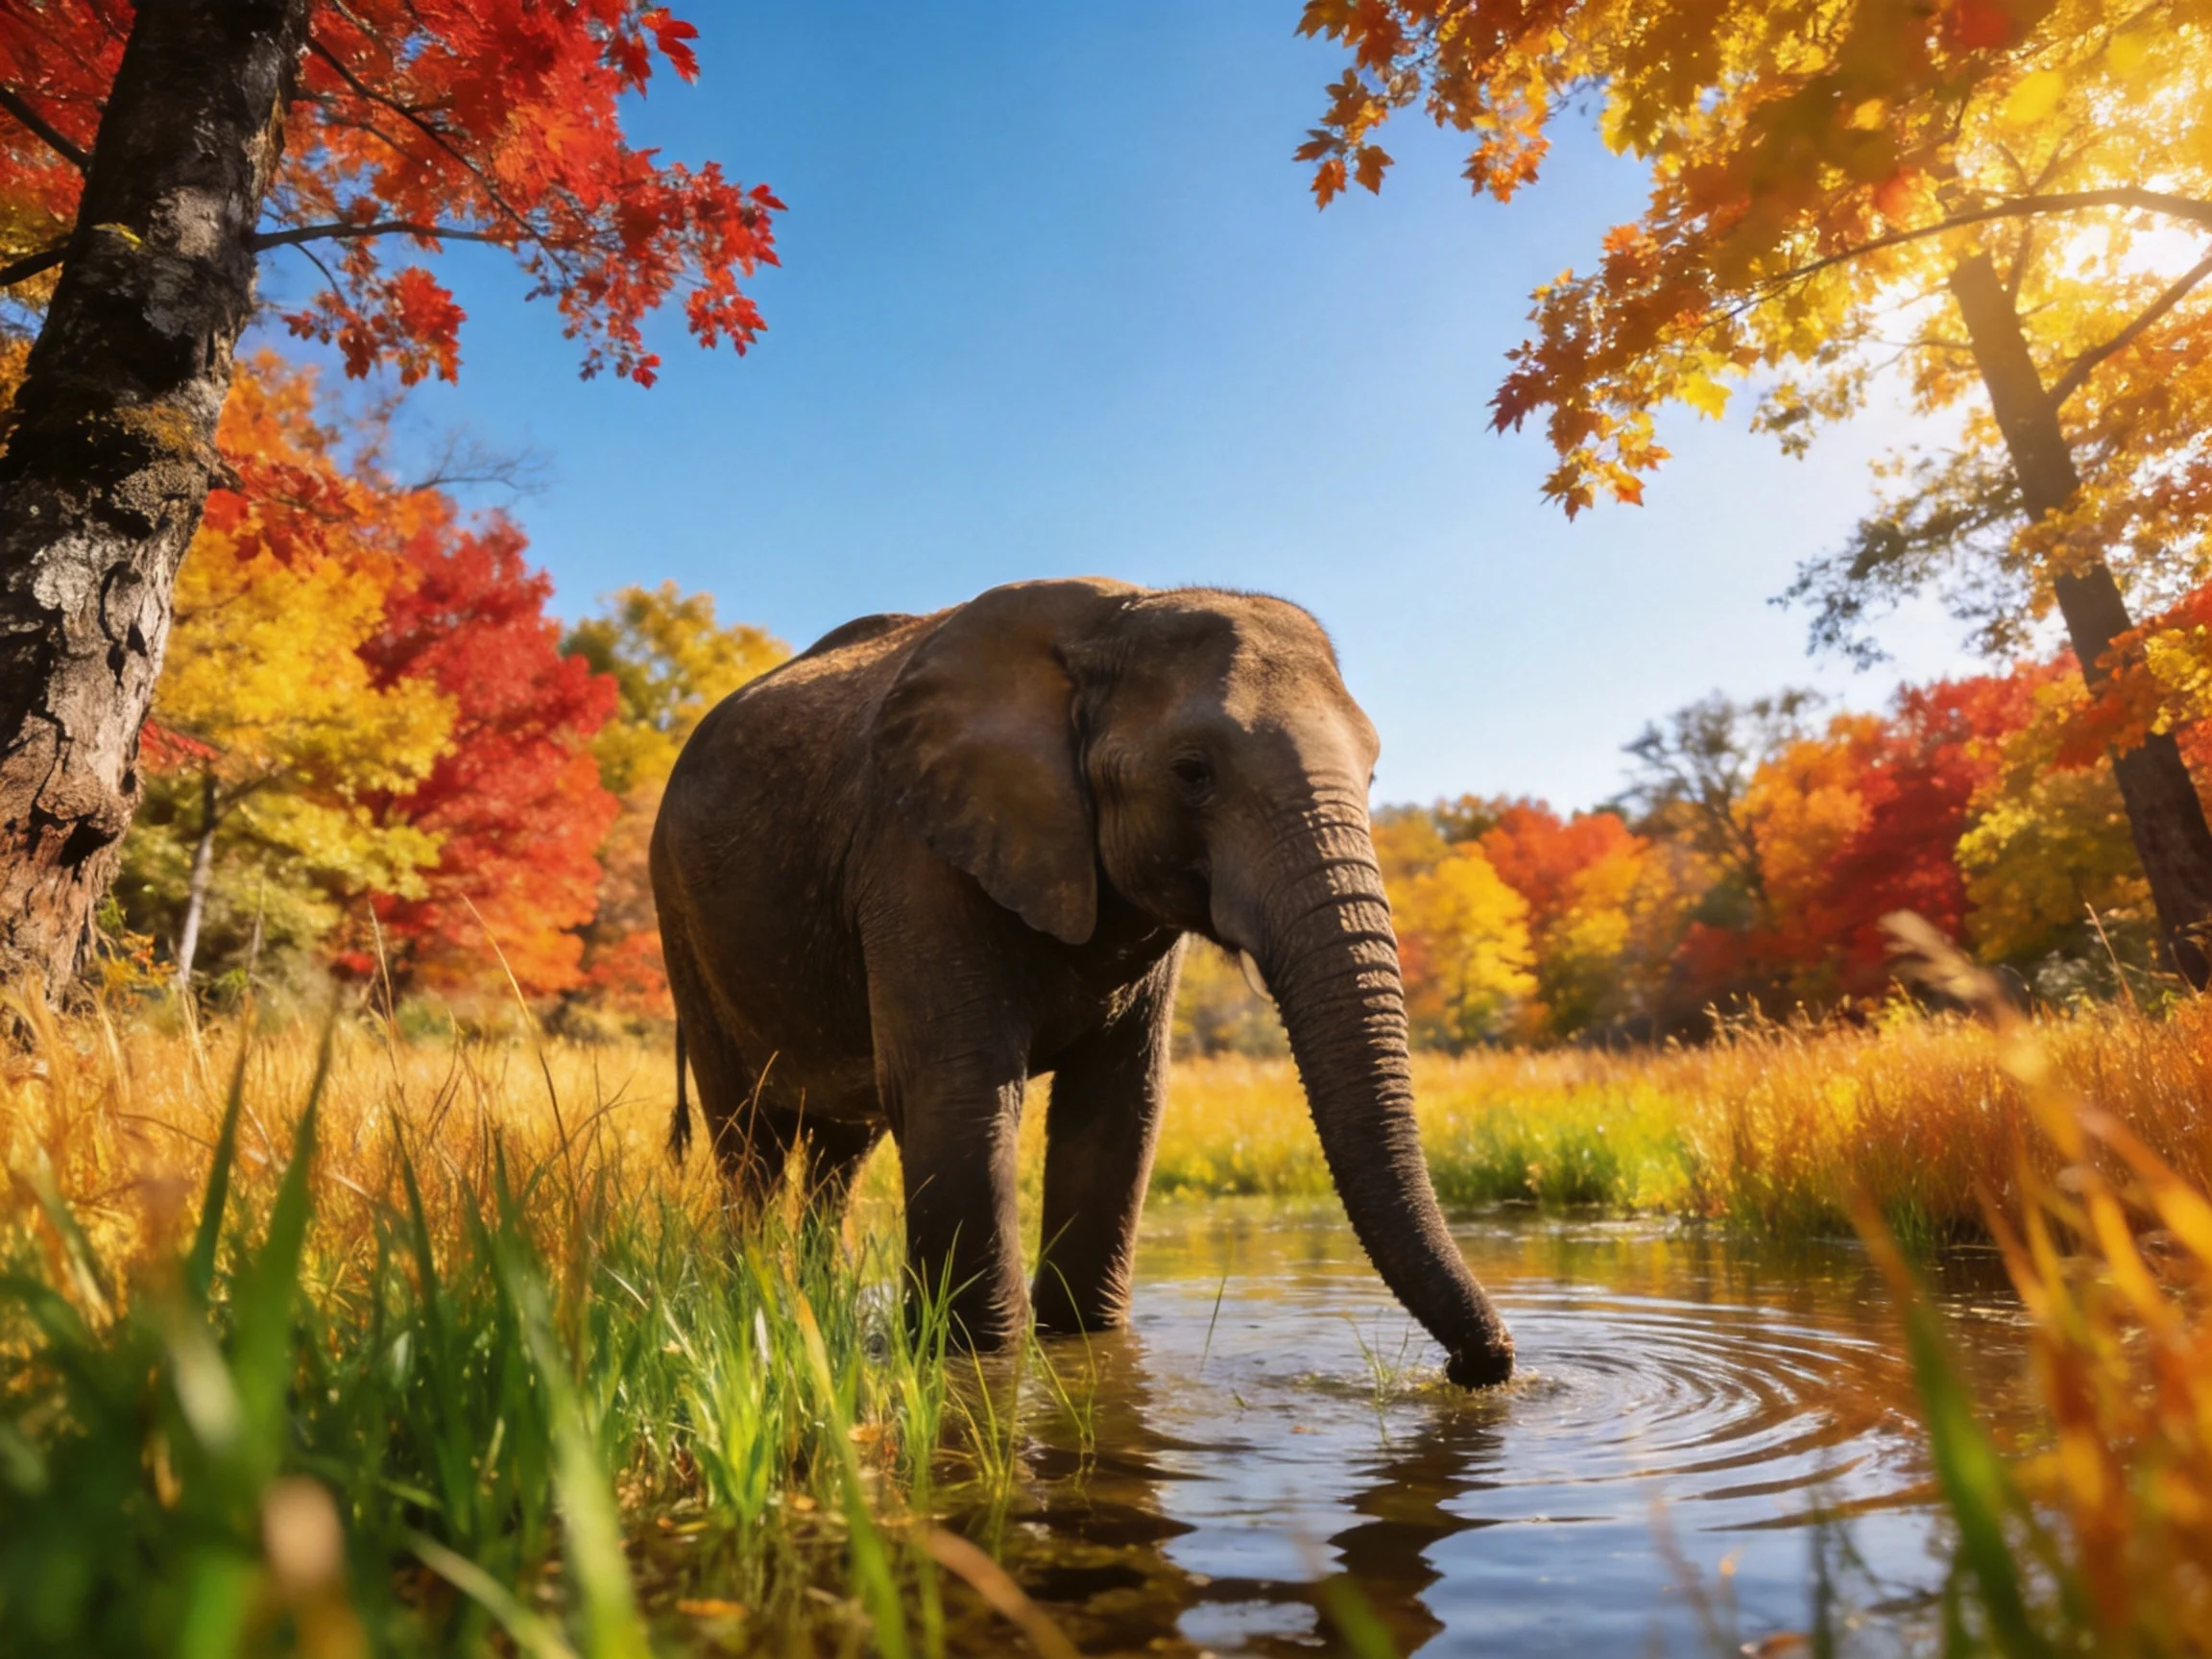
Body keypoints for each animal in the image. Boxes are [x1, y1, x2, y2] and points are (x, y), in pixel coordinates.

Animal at [651, 577, 1515, 1388]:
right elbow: (960, 1094)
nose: (1482, 1365)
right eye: (1192, 772)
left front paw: (1080, 1344)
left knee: (840, 1149)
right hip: (685, 926)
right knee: (749, 1138)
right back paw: (756, 1298)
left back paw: (814, 1298)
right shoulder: (914, 854)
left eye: (1372, 775)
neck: (1120, 616)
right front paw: (980, 1355)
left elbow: (1118, 1107)